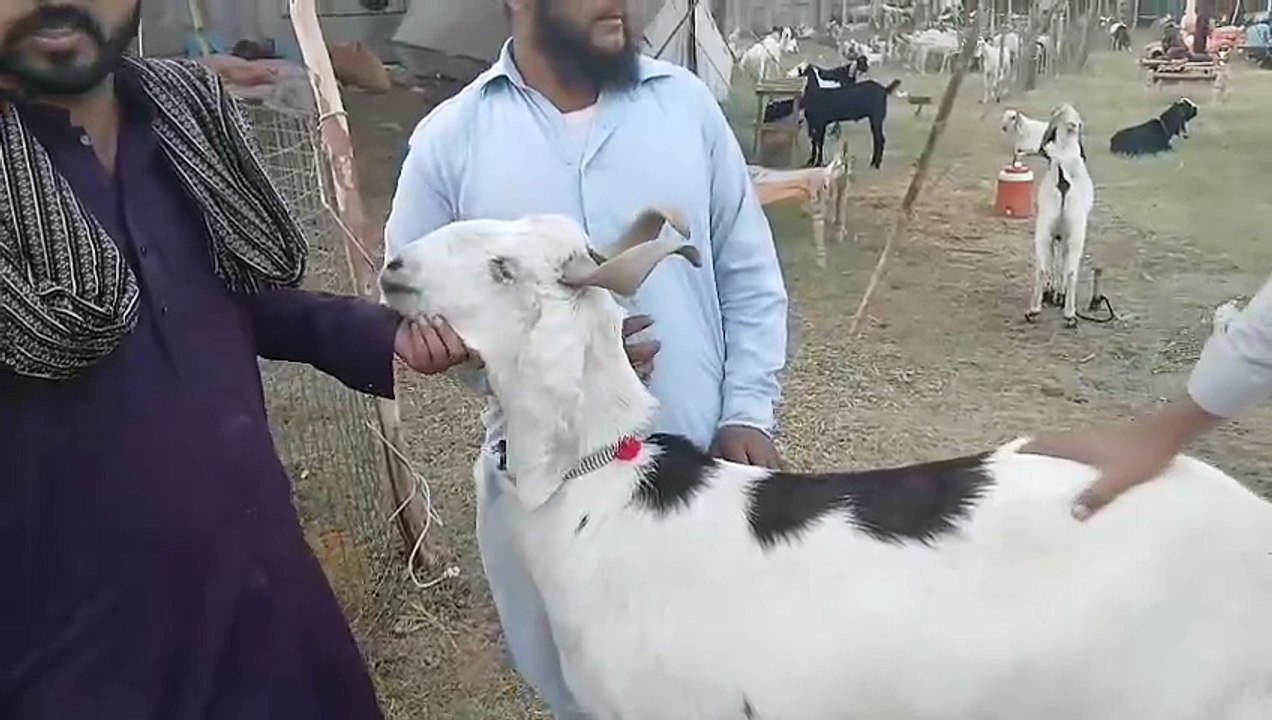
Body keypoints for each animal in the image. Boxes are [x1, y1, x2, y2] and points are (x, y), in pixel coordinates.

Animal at [1028, 104, 1094, 328]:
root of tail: (1063, 180)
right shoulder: (1064, 236)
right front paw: (1057, 294)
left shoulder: (1056, 234)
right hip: (1076, 233)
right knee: (1072, 270)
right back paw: (1069, 314)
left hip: (1044, 228)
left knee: (1042, 267)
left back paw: (1034, 311)